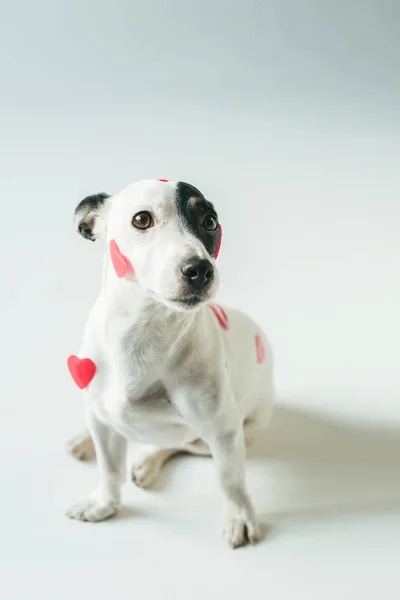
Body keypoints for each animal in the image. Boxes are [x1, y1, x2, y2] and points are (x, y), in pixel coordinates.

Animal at [67, 178, 276, 548]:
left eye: (209, 221)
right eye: (141, 219)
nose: (200, 270)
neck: (143, 334)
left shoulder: (224, 432)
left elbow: (231, 481)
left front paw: (238, 516)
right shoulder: (103, 425)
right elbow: (109, 469)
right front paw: (104, 503)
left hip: (239, 429)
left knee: (178, 442)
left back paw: (148, 460)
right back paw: (84, 440)